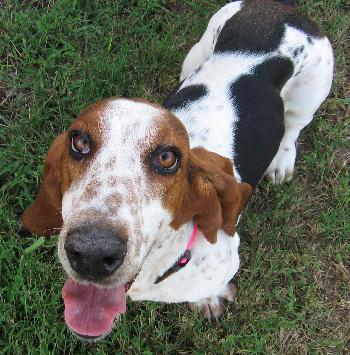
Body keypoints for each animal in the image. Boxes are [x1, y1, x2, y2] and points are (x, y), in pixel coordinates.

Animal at [21, 0, 334, 342]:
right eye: (79, 141)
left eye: (168, 158)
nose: (92, 253)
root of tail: (284, 10)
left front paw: (210, 299)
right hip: (198, 50)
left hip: (310, 93)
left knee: (293, 125)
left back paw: (282, 160)